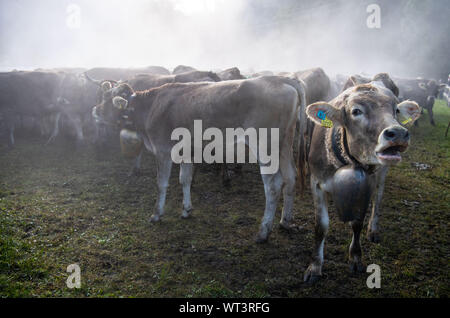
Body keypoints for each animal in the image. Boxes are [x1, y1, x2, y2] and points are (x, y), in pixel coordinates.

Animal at [92, 76, 308, 242]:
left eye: (108, 98)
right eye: (103, 95)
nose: (94, 110)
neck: (150, 107)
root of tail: (279, 78)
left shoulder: (162, 150)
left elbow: (161, 184)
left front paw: (156, 214)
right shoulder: (186, 151)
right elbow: (185, 179)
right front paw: (186, 210)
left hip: (265, 146)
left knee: (273, 185)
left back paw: (263, 232)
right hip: (285, 144)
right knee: (291, 177)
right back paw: (285, 221)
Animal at [298, 78, 422, 282]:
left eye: (396, 110)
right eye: (356, 111)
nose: (397, 133)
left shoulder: (366, 185)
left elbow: (357, 223)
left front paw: (355, 258)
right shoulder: (316, 182)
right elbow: (321, 226)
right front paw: (315, 266)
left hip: (382, 173)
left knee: (378, 199)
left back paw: (374, 230)